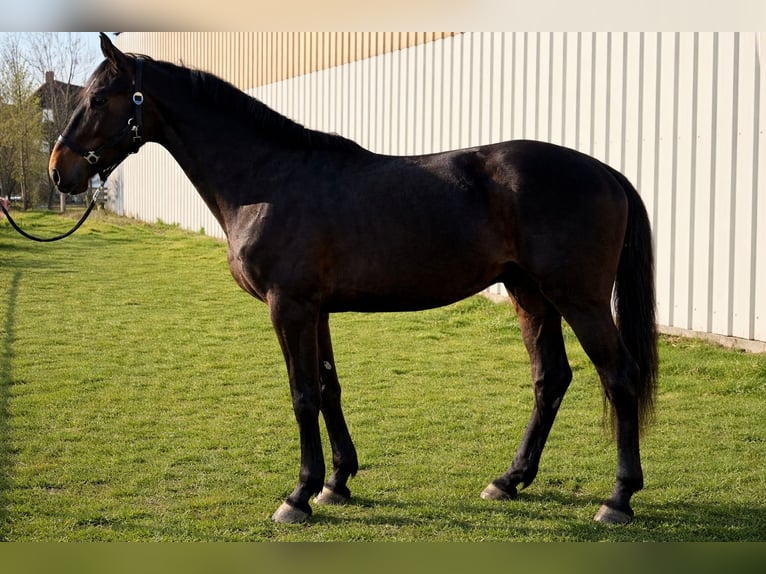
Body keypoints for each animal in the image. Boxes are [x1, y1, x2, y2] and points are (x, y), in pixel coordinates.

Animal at [49, 33, 658, 525]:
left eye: (98, 99)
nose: (60, 171)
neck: (269, 180)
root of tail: (606, 171)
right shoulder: (315, 309)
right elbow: (328, 388)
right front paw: (337, 484)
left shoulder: (289, 306)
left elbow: (301, 394)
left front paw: (298, 495)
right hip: (529, 295)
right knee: (550, 379)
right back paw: (508, 480)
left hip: (578, 298)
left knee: (619, 376)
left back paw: (618, 499)